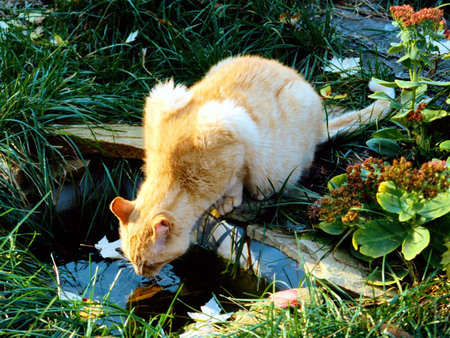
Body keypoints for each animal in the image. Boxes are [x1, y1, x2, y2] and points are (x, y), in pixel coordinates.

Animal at [110, 54, 396, 278]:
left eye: (149, 263)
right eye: (131, 259)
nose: (141, 274)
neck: (175, 173)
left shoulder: (236, 138)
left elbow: (235, 182)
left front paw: (227, 202)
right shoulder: (162, 98)